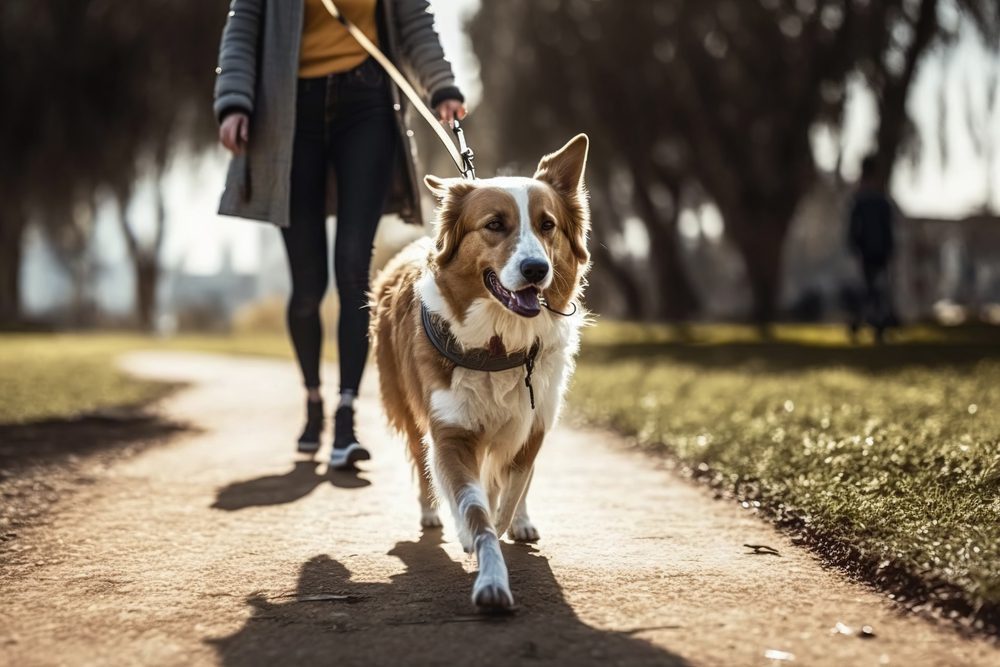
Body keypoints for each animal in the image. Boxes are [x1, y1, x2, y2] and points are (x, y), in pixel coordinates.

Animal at [370, 134, 588, 612]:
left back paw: (521, 521)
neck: (500, 344)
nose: (536, 269)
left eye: (547, 225)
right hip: (406, 406)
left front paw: (505, 524)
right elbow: (476, 510)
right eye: (494, 225)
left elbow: (507, 494)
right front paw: (488, 573)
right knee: (422, 463)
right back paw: (433, 514)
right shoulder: (451, 432)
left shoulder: (534, 423)